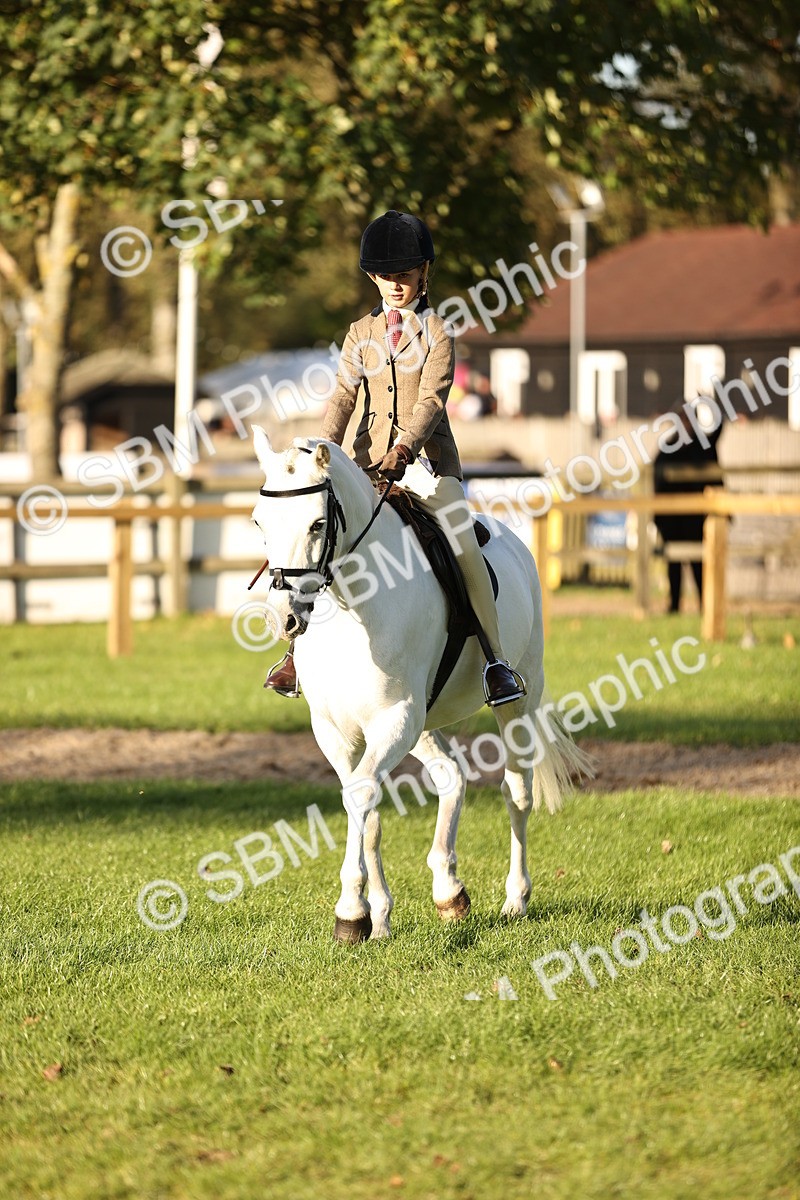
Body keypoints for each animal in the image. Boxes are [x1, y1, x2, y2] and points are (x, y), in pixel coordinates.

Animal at [250, 427, 590, 942]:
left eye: (316, 524)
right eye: (259, 523)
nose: (283, 618)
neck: (352, 609)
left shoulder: (396, 718)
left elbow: (362, 796)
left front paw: (350, 912)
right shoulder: (336, 730)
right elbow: (365, 808)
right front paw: (377, 917)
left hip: (512, 702)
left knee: (517, 792)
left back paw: (515, 899)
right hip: (424, 723)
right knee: (452, 776)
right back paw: (449, 890)